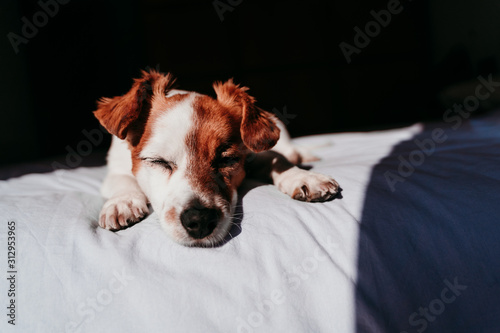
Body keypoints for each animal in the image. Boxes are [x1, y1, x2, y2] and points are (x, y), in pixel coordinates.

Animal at [93, 68, 340, 245]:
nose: (200, 220)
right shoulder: (114, 170)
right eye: (158, 162)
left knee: (288, 150)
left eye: (227, 160)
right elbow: (124, 181)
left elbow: (277, 159)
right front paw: (122, 202)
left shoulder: (253, 155)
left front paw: (304, 177)